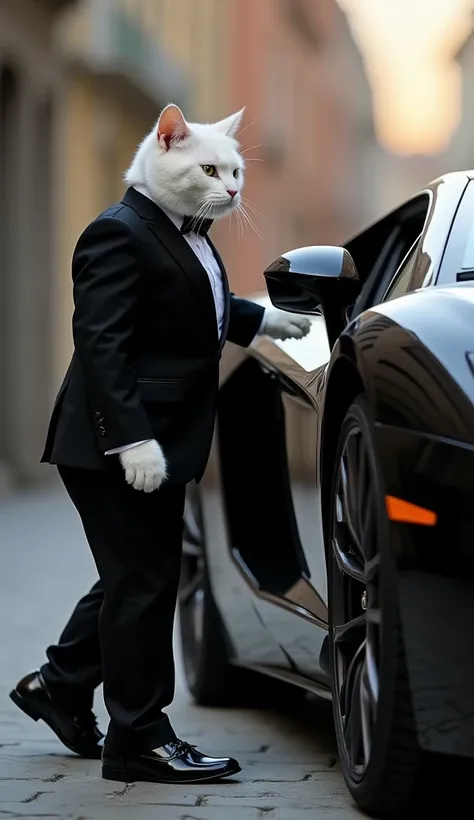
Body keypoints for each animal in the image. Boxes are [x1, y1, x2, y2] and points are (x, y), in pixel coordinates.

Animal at [10, 105, 312, 784]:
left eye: (235, 170)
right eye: (209, 171)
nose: (234, 193)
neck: (176, 224)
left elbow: (237, 307)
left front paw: (279, 319)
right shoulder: (111, 267)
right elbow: (108, 342)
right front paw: (154, 750)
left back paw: (54, 699)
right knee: (140, 582)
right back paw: (148, 750)